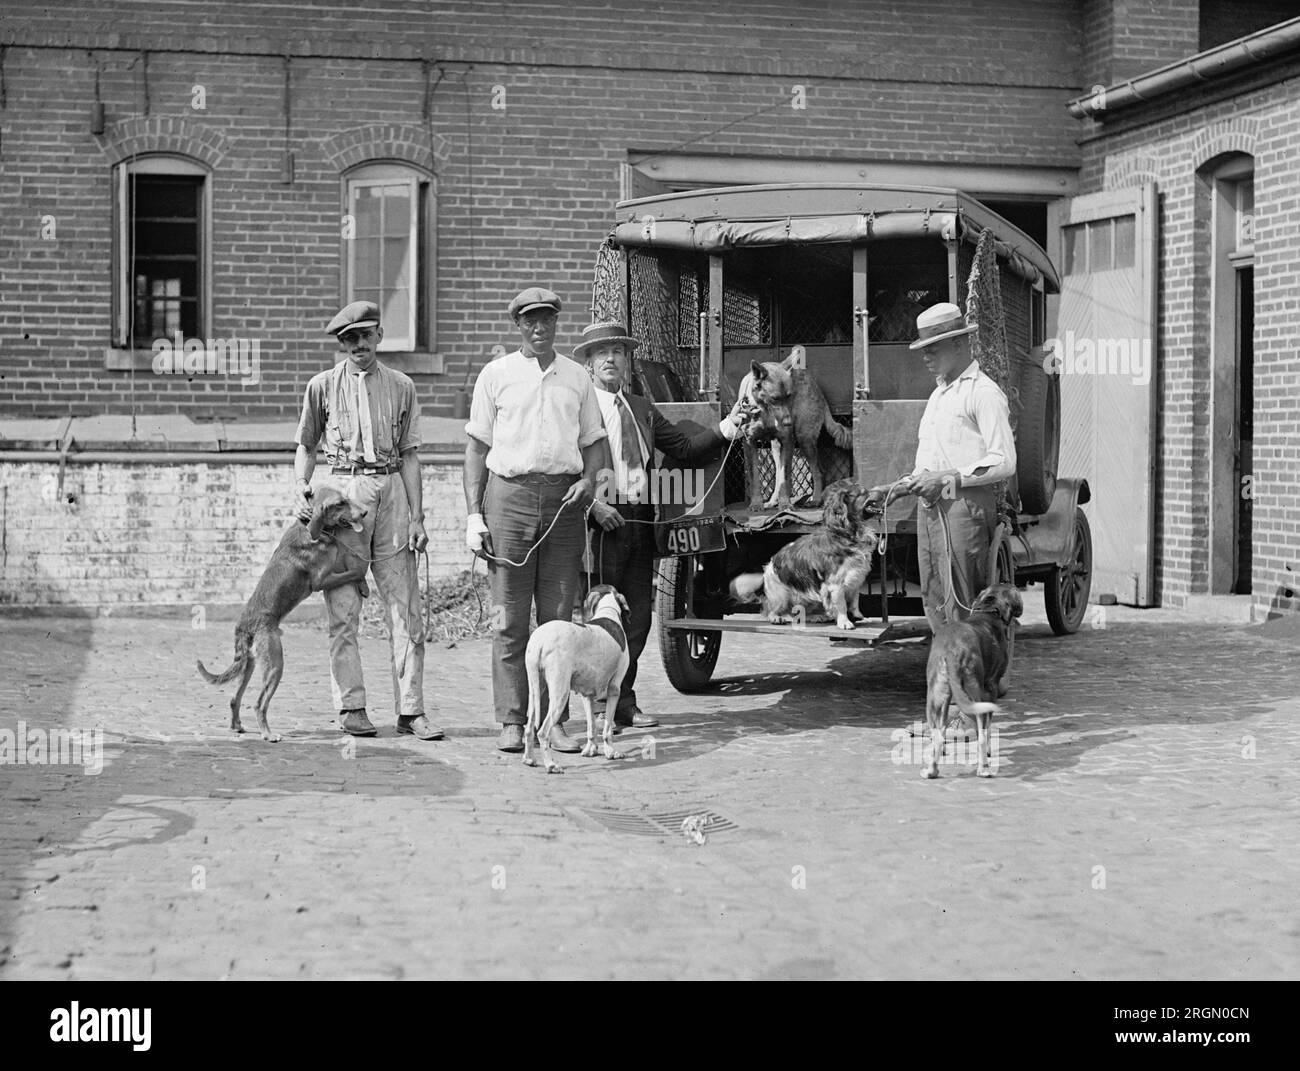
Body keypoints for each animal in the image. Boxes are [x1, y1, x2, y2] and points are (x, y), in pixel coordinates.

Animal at [198, 488, 371, 738]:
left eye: (347, 499)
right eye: (340, 503)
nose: (365, 513)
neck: (310, 527)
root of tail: (244, 626)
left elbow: (351, 568)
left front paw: (365, 586)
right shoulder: (322, 580)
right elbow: (354, 571)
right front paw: (363, 578)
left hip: (250, 665)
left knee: (234, 698)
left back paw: (237, 726)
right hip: (275, 664)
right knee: (259, 703)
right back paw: (268, 734)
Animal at [525, 582, 631, 774]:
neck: (608, 611)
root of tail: (540, 640)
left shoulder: (586, 695)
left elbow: (591, 726)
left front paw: (591, 750)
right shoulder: (614, 690)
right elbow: (607, 730)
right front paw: (611, 752)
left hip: (535, 688)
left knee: (529, 728)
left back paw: (529, 759)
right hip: (560, 693)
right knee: (543, 732)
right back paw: (550, 765)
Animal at [728, 475, 878, 626]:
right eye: (864, 492)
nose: (881, 492)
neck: (847, 533)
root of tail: (767, 569)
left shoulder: (855, 578)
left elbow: (854, 602)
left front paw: (858, 616)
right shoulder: (835, 584)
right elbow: (841, 605)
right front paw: (845, 622)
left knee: (798, 612)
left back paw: (816, 617)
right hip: (781, 596)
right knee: (775, 611)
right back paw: (776, 618)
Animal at [743, 343, 852, 509]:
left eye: (789, 396)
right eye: (774, 398)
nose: (788, 423)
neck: (766, 413)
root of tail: (818, 389)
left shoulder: (788, 440)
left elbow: (785, 477)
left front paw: (785, 505)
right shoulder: (750, 442)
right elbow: (755, 477)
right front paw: (756, 504)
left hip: (804, 438)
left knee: (818, 472)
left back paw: (815, 500)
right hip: (777, 448)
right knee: (779, 476)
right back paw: (773, 501)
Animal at [925, 584, 1024, 779]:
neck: (989, 611)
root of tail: (951, 651)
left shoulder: (947, 699)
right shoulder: (991, 688)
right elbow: (987, 730)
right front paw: (989, 751)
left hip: (934, 699)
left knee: (938, 737)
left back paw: (932, 771)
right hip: (977, 695)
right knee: (981, 736)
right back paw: (983, 769)